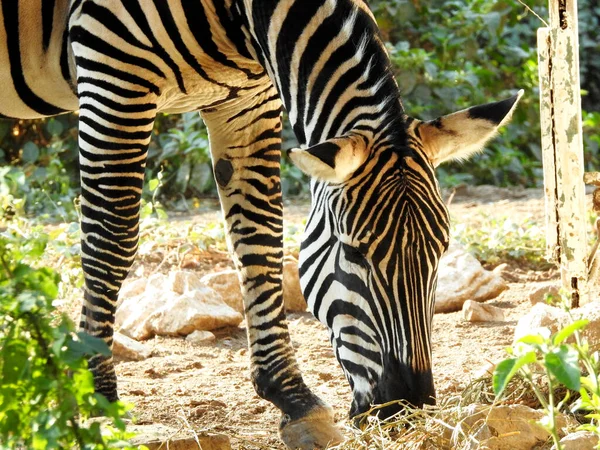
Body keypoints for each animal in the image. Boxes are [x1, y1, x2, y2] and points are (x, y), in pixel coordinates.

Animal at [0, 1, 520, 448]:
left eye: (440, 253)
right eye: (354, 252)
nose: (408, 409)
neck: (238, 17)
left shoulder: (248, 99)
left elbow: (259, 236)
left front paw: (293, 398)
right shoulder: (113, 65)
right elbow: (112, 235)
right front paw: (98, 397)